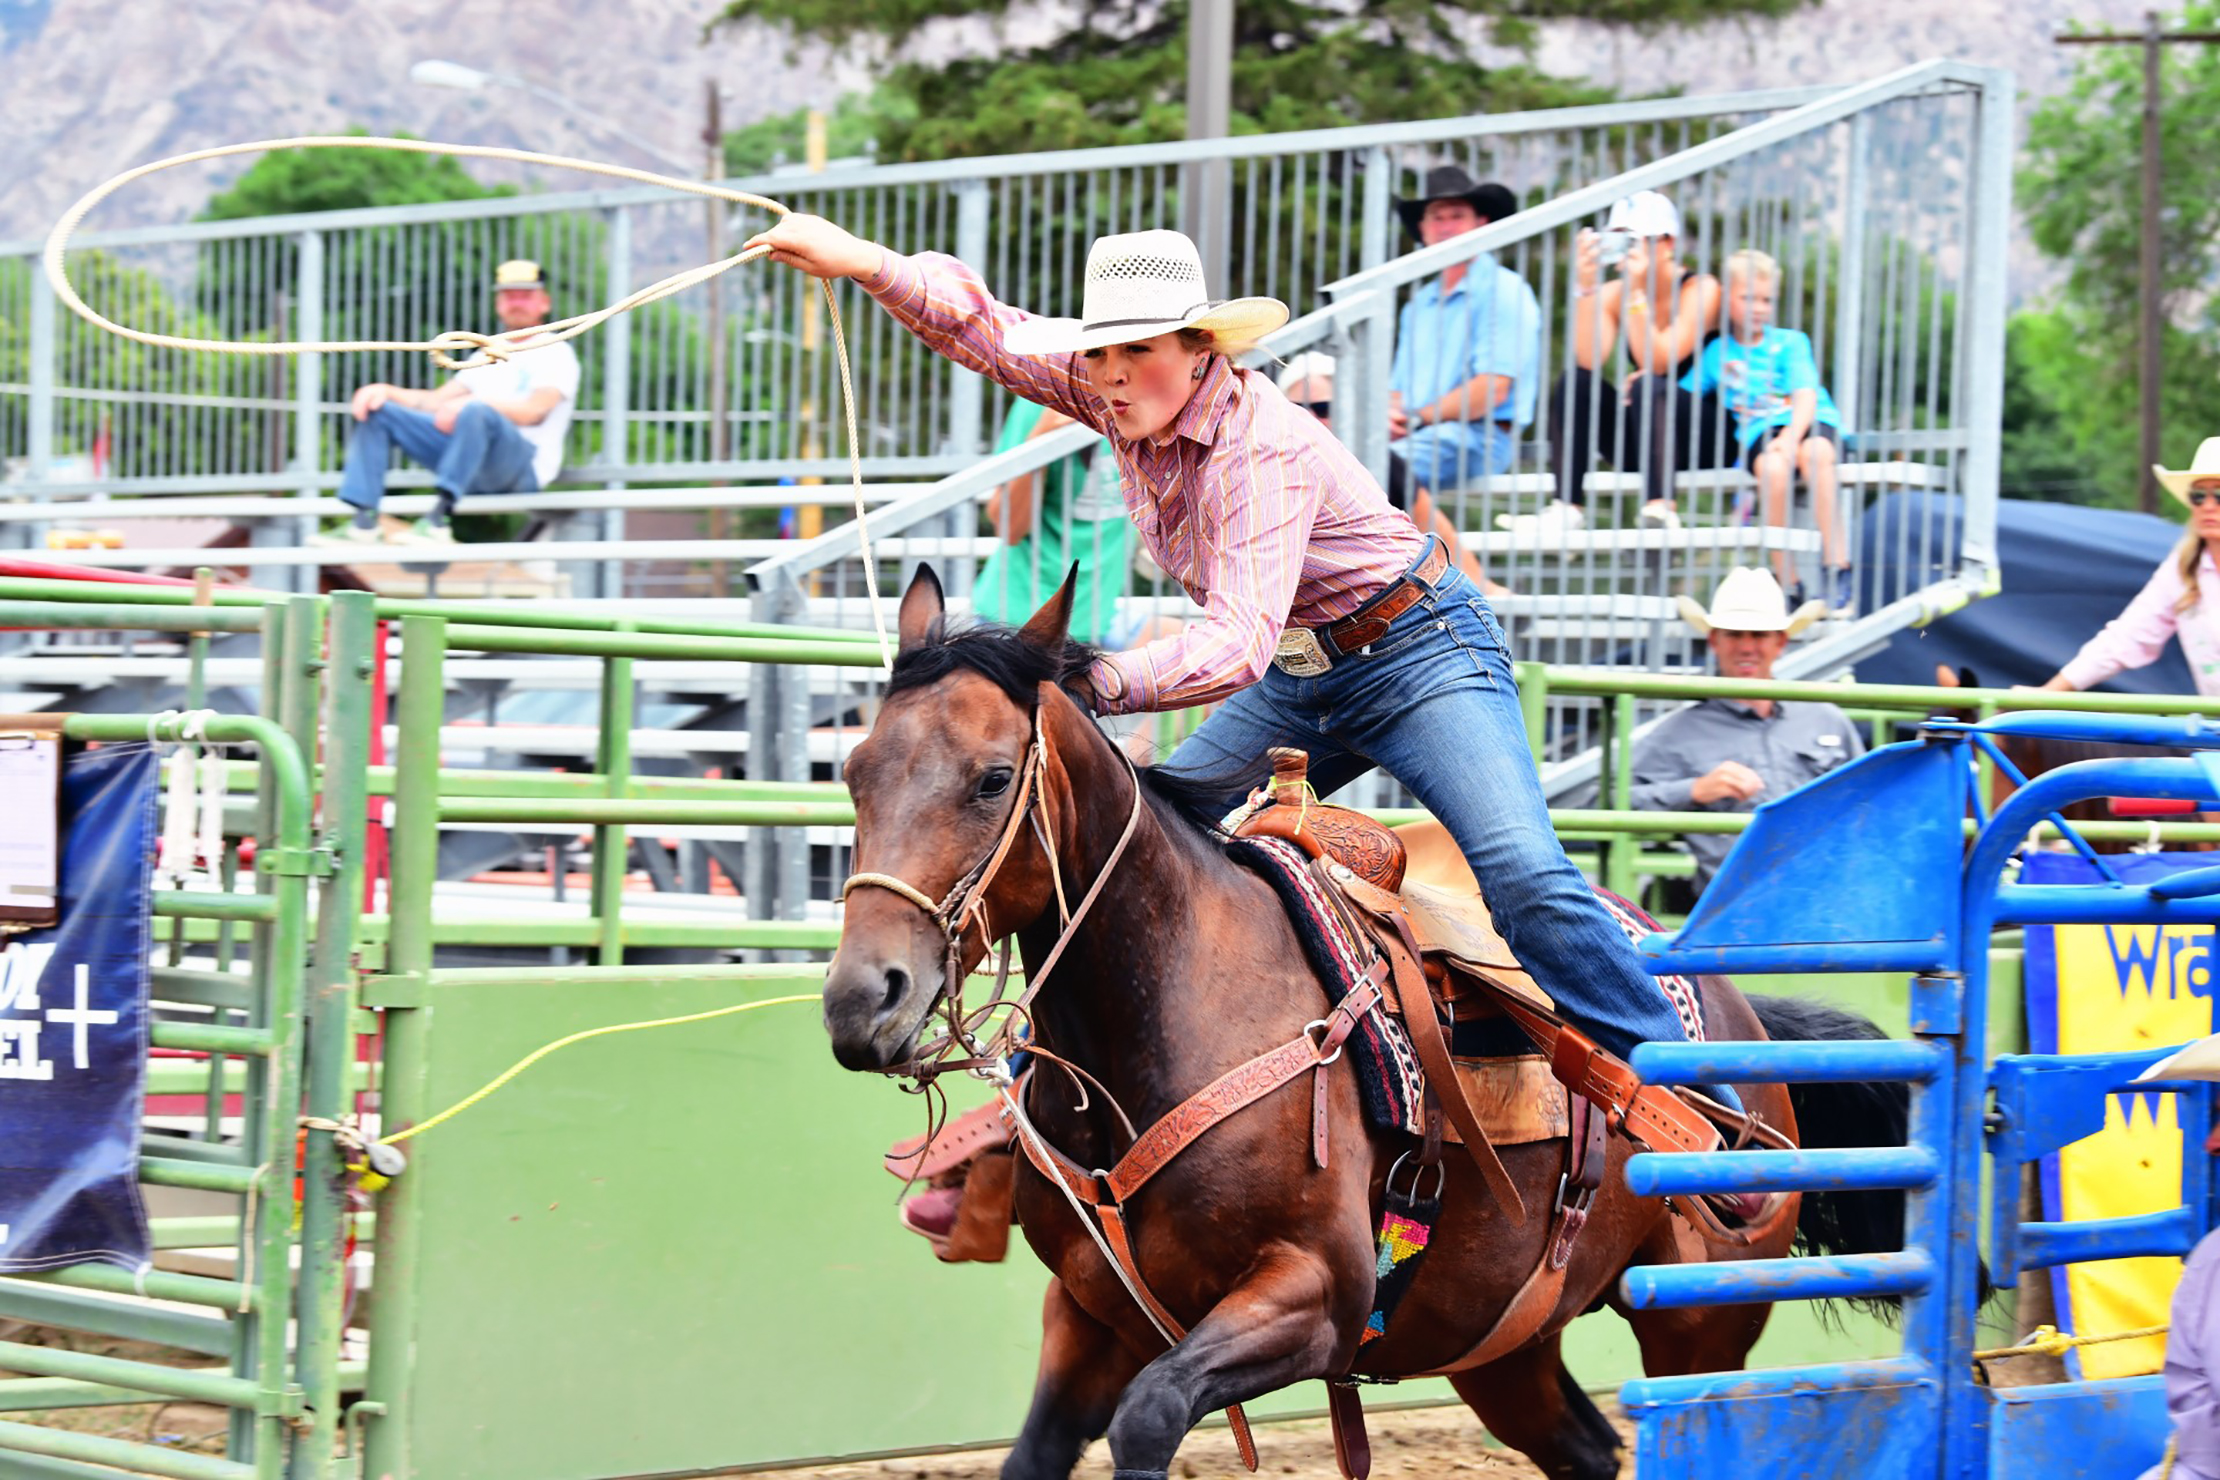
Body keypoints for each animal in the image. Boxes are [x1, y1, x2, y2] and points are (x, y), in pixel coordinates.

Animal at [825, 572, 1900, 1480]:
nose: (858, 999)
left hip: (1699, 1328)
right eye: (854, 771)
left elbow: (1151, 1415)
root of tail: (1739, 1018)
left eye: (991, 778)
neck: (1172, 1016)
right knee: (1587, 1449)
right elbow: (1039, 1451)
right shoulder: (1091, 1313)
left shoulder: (1311, 1298)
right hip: (1499, 1345)